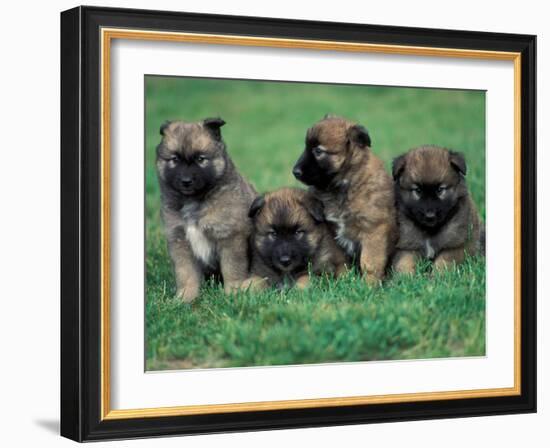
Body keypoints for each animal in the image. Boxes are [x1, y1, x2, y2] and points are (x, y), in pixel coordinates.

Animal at [156, 117, 258, 302]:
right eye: (174, 159)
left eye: (200, 159)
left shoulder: (230, 238)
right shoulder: (180, 241)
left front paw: (233, 293)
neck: (194, 201)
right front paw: (186, 297)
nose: (186, 181)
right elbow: (186, 273)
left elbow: (232, 269)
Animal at [296, 114, 398, 284]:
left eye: (318, 151)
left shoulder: (374, 230)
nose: (295, 171)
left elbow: (369, 263)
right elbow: (340, 261)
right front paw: (344, 280)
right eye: (306, 147)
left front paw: (369, 285)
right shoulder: (332, 233)